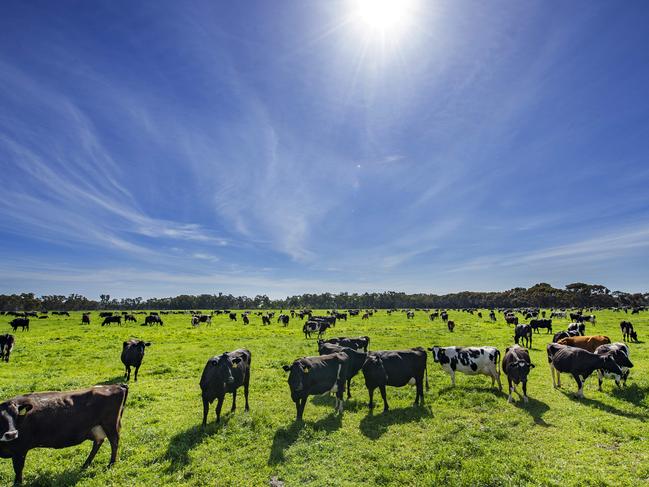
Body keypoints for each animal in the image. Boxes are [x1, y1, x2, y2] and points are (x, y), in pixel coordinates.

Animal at [0, 386, 130, 484]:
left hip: (110, 424)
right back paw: (85, 465)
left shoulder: (20, 449)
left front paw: (17, 484)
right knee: (98, 442)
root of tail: (117, 386)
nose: (12, 434)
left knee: (114, 442)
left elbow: (18, 470)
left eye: (16, 415)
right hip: (97, 428)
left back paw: (111, 464)